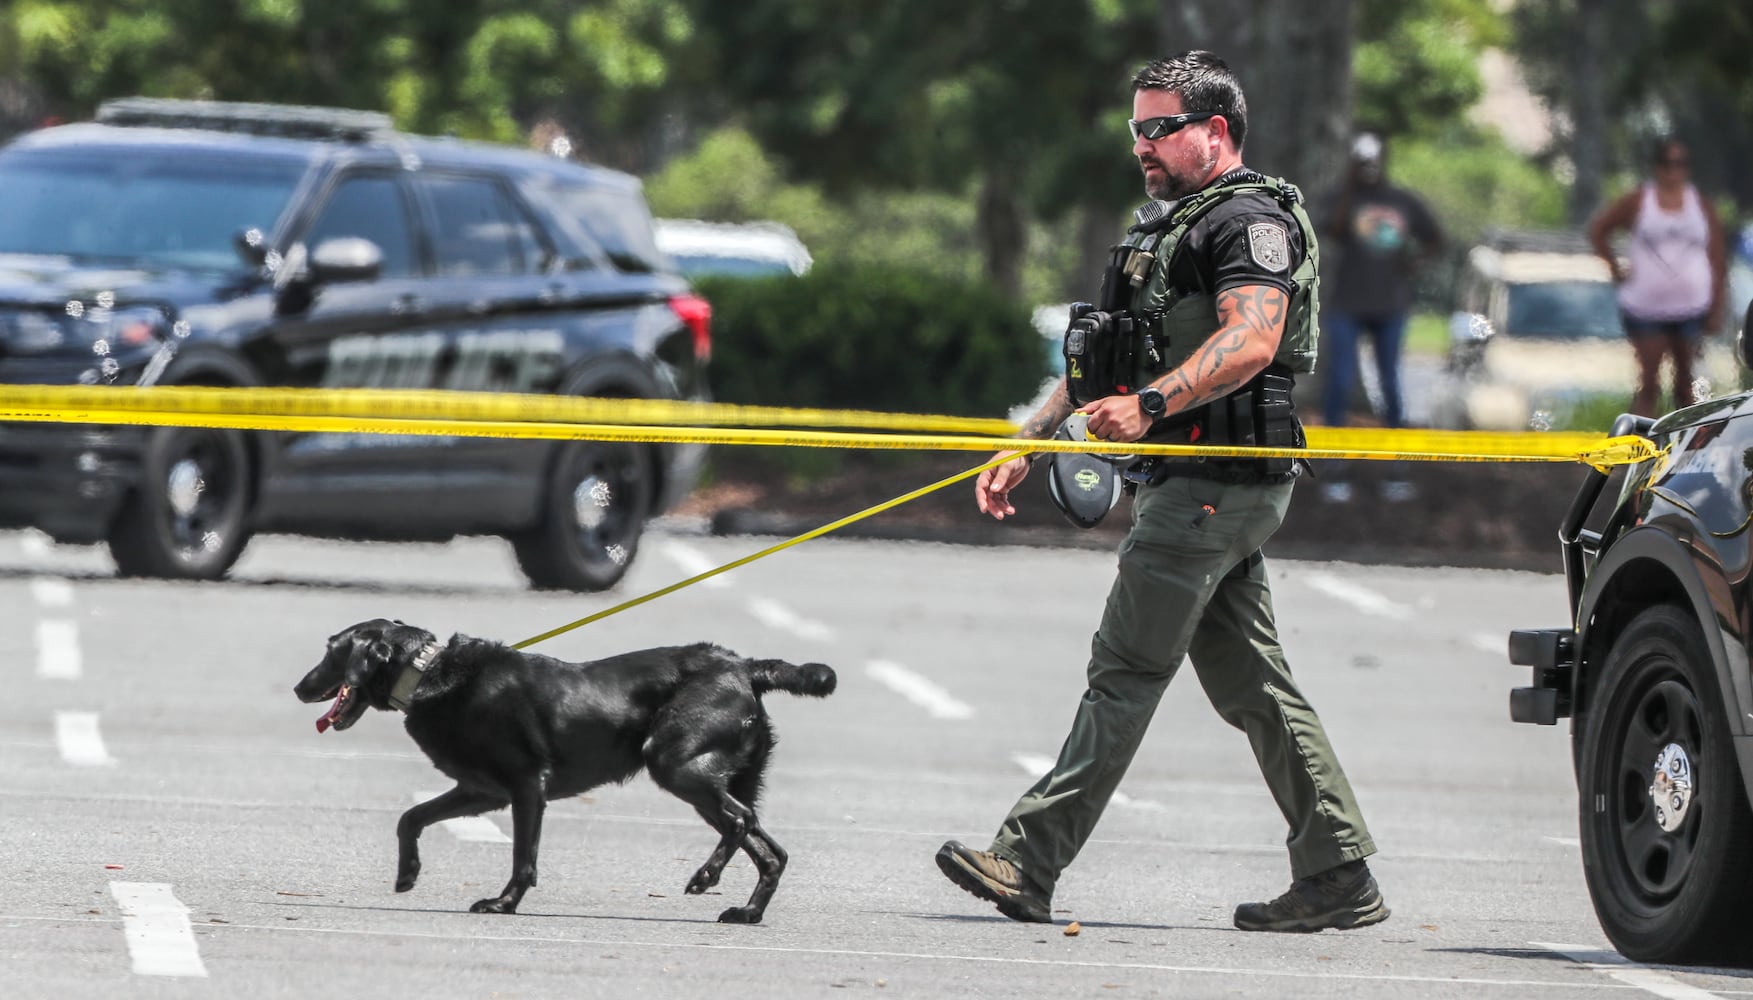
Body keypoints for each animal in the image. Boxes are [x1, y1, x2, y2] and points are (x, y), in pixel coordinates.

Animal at [292, 617, 834, 919]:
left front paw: (503, 904)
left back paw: (705, 876)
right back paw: (746, 912)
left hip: (674, 763)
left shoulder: (526, 787)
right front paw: (408, 874)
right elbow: (411, 818)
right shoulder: (480, 791)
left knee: (742, 822)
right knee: (770, 850)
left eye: (331, 651)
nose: (299, 687)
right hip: (714, 778)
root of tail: (744, 668)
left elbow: (522, 857)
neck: (429, 673)